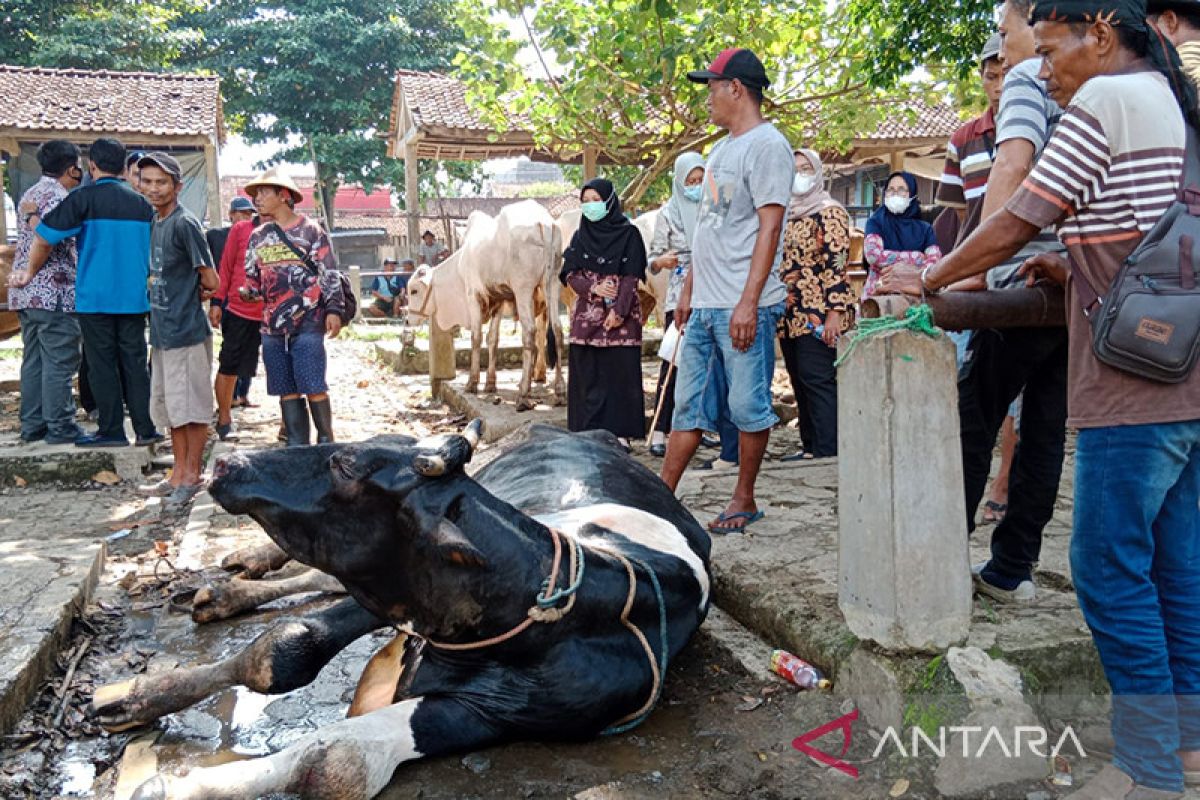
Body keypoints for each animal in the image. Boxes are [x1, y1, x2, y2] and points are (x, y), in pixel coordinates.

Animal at [410, 200, 564, 412]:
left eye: (414, 291)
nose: (407, 319)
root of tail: (545, 224)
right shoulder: (498, 300)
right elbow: (493, 340)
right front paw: (490, 384)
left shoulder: (473, 297)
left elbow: (476, 338)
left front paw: (472, 383)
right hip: (552, 283)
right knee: (557, 330)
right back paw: (559, 391)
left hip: (523, 288)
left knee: (530, 333)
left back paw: (523, 394)